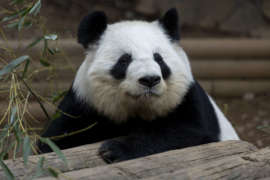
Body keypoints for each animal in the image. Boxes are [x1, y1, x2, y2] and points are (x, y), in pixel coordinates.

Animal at [38, 8, 238, 163]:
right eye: (124, 60)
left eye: (159, 58)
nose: (150, 79)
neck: (139, 108)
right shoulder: (84, 103)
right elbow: (53, 141)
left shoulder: (185, 97)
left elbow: (189, 133)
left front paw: (114, 149)